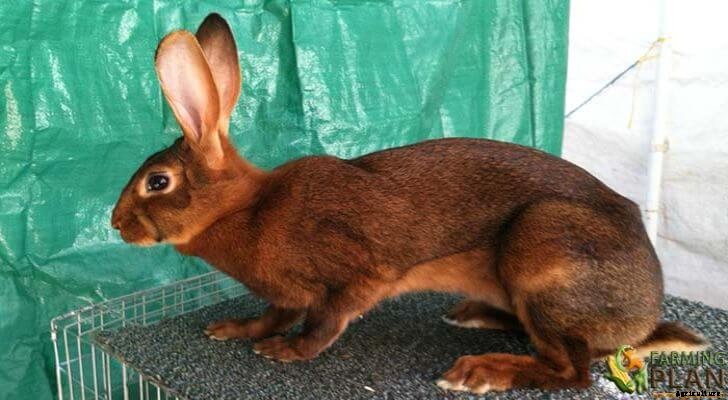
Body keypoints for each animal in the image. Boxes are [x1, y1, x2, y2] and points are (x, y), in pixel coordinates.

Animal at [111, 13, 708, 394]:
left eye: (157, 182)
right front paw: (235, 330)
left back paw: (480, 372)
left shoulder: (359, 274)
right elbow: (271, 314)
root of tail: (643, 317)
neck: (246, 208)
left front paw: (287, 352)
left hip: (544, 251)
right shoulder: (283, 295)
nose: (116, 225)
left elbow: (326, 321)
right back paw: (472, 315)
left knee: (572, 371)